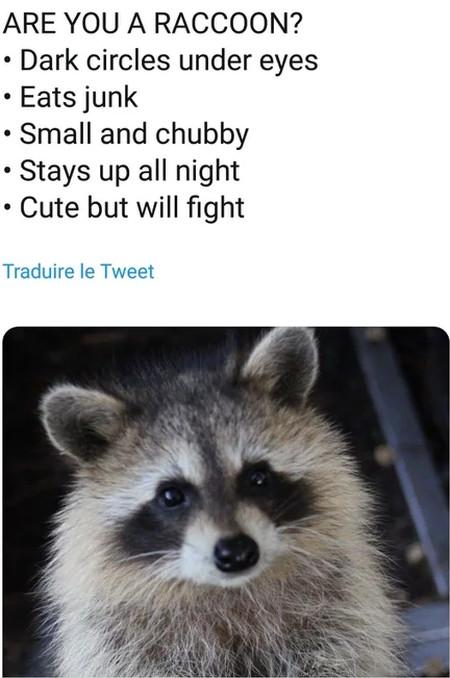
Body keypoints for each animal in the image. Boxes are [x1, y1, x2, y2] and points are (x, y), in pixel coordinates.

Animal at [35, 328, 404, 677]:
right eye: (171, 495)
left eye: (258, 477)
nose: (237, 552)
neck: (230, 590)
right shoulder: (117, 643)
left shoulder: (339, 614)